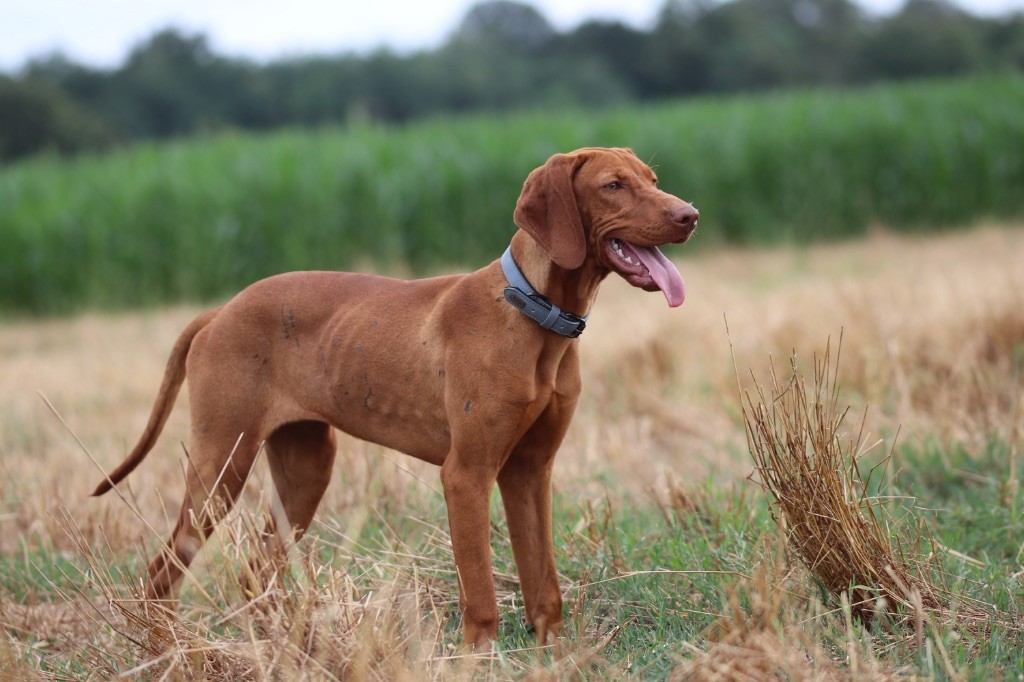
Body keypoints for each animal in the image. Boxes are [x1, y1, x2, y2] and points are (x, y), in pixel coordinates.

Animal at [94, 146, 696, 647]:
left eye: (653, 180)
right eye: (613, 185)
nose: (689, 214)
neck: (534, 312)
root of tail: (221, 310)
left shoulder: (529, 470)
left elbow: (543, 583)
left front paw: (558, 656)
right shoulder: (466, 475)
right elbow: (480, 593)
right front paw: (477, 659)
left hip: (306, 467)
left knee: (255, 570)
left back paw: (288, 646)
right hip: (222, 465)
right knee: (163, 572)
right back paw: (167, 649)